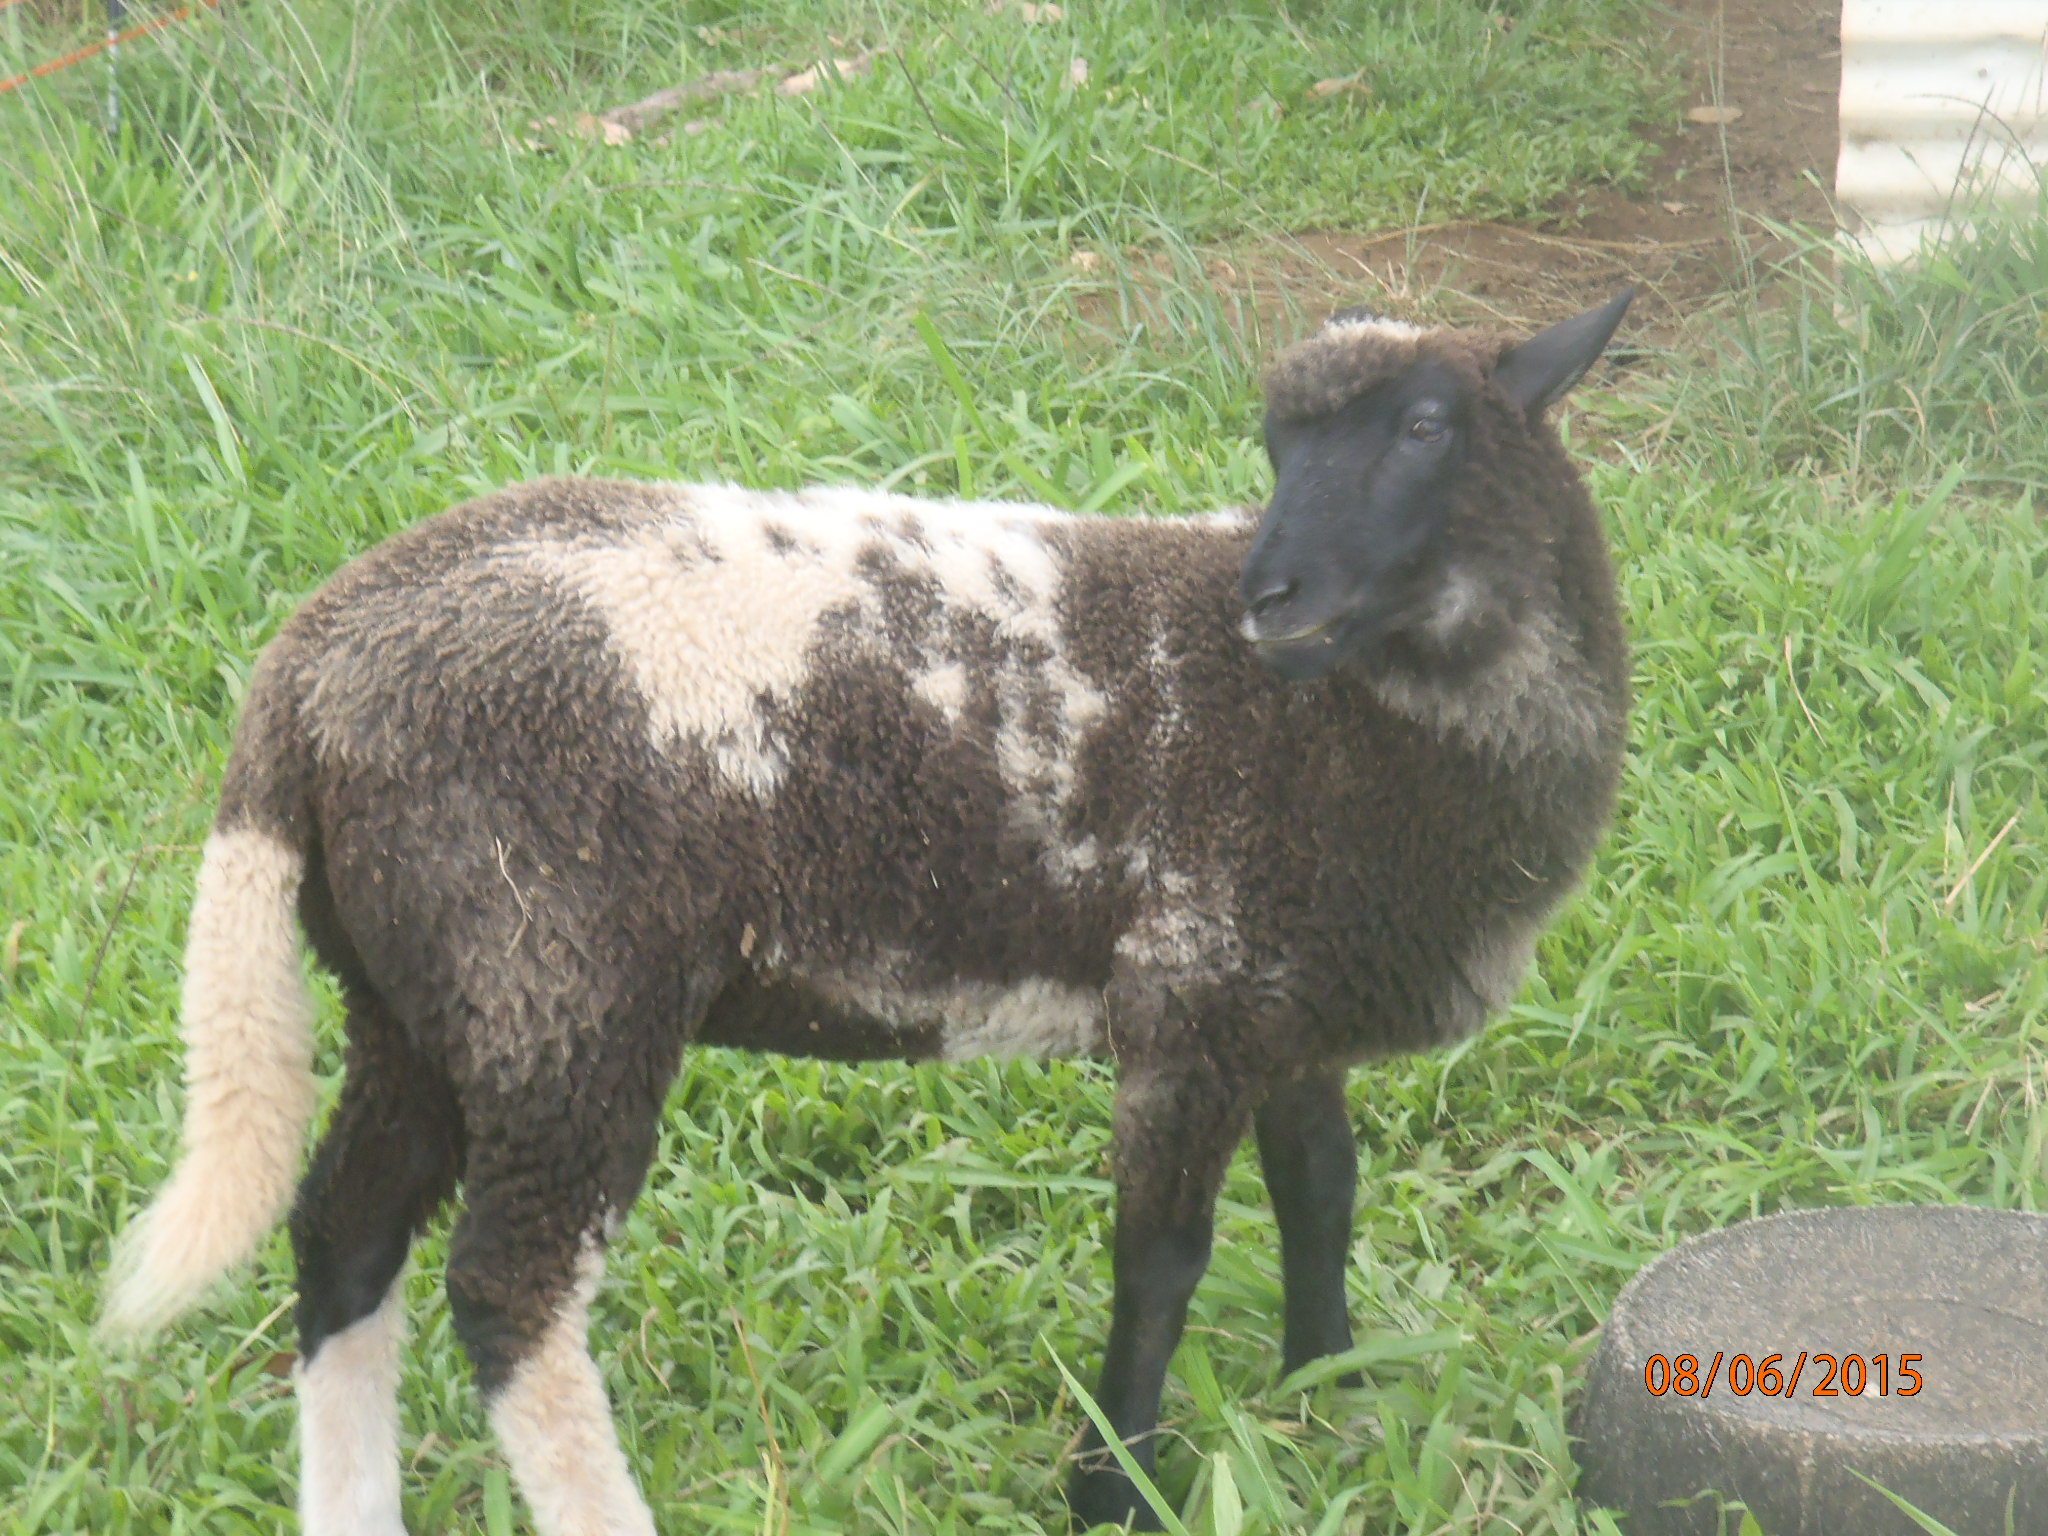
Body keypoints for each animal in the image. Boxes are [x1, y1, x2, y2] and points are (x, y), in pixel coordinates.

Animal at [96, 290, 1638, 1536]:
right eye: (1276, 451)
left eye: (1428, 427)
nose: (1274, 595)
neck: (1353, 724)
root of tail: (305, 676)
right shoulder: (1187, 990)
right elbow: (1159, 1264)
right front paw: (1112, 1494)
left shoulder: (1281, 996)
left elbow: (1321, 1193)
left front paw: (1333, 1395)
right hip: (557, 983)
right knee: (506, 1291)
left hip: (422, 995)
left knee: (343, 1238)